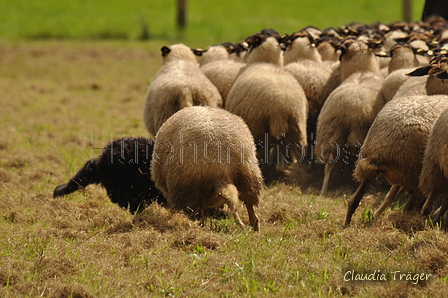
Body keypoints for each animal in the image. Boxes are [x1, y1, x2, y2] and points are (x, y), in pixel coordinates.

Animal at [224, 30, 308, 180]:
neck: (266, 61)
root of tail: (281, 107)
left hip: (258, 128)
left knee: (261, 153)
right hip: (299, 128)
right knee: (300, 156)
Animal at [316, 37, 384, 196]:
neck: (362, 70)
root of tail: (350, 106)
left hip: (332, 132)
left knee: (329, 164)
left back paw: (323, 192)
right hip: (361, 137)